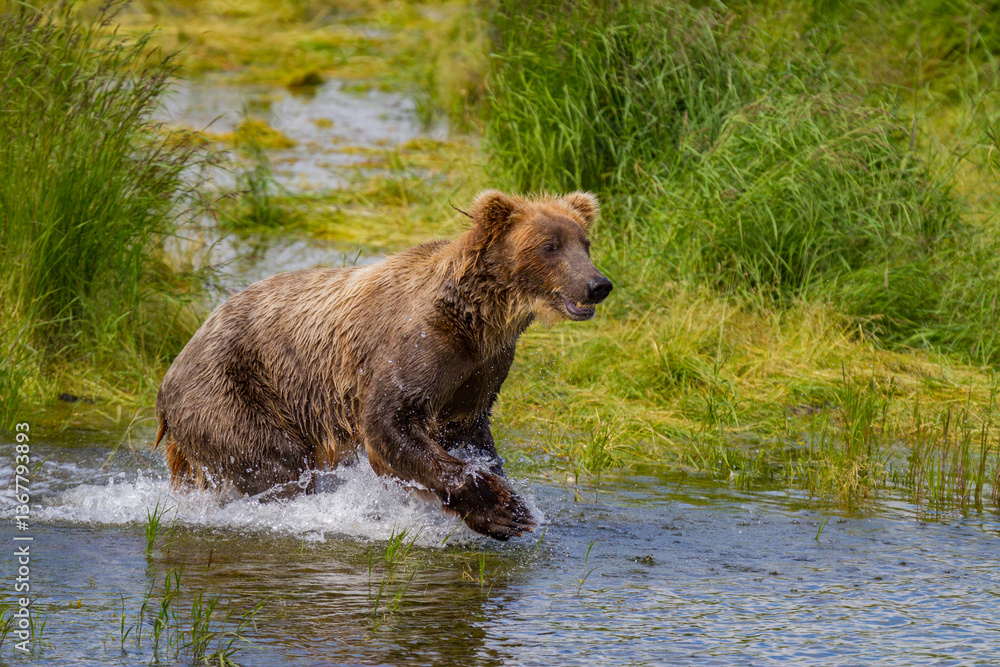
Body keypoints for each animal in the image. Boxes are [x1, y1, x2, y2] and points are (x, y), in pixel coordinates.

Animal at [153, 190, 613, 540]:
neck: (476, 319)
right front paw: (503, 509)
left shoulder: (480, 370)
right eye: (549, 246)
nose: (598, 284)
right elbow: (390, 423)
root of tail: (172, 370)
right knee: (274, 464)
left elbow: (467, 431)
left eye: (585, 243)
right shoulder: (415, 347)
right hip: (231, 391)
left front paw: (506, 497)